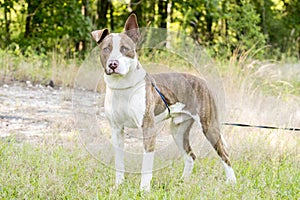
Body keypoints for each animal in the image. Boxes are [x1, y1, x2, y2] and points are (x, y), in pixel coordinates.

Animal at [91, 13, 237, 191]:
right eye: (106, 49)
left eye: (125, 49)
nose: (113, 64)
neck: (123, 87)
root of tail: (203, 81)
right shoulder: (116, 129)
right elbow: (119, 162)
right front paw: (118, 186)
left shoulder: (148, 128)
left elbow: (146, 165)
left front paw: (144, 190)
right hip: (178, 130)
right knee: (191, 156)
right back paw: (183, 181)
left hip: (209, 126)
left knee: (225, 154)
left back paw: (232, 182)